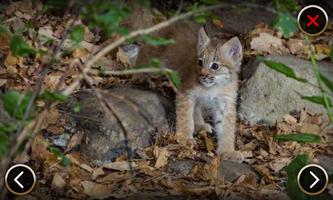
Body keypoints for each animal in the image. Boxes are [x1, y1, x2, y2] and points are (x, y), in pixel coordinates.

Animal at [134, 21, 241, 160]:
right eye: (200, 62)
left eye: (215, 66)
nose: (203, 76)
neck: (213, 86)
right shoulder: (185, 92)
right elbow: (185, 117)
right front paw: (184, 138)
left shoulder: (225, 102)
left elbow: (227, 127)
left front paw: (227, 151)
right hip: (155, 60)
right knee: (143, 53)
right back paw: (138, 76)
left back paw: (200, 125)